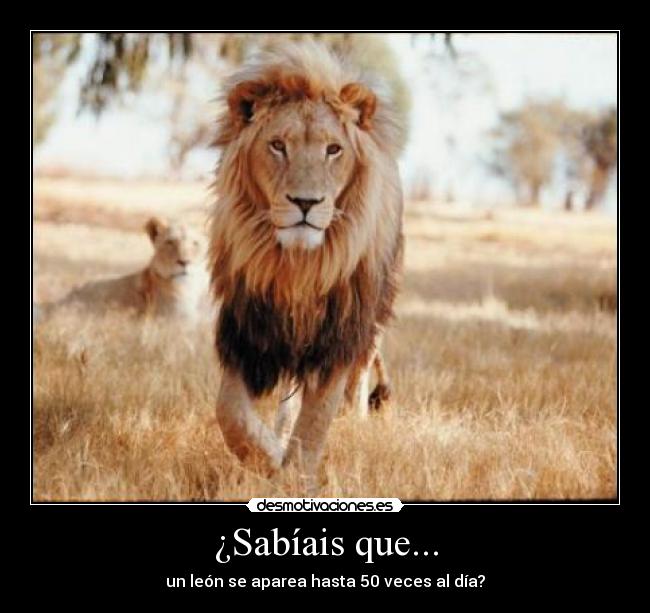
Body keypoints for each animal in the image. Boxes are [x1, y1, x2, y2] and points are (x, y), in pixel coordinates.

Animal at [209, 41, 404, 481]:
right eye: (278, 145)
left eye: (333, 150)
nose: (305, 202)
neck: (296, 267)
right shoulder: (246, 330)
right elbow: (230, 411)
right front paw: (267, 455)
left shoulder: (337, 335)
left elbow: (316, 419)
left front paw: (293, 476)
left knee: (359, 377)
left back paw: (354, 423)